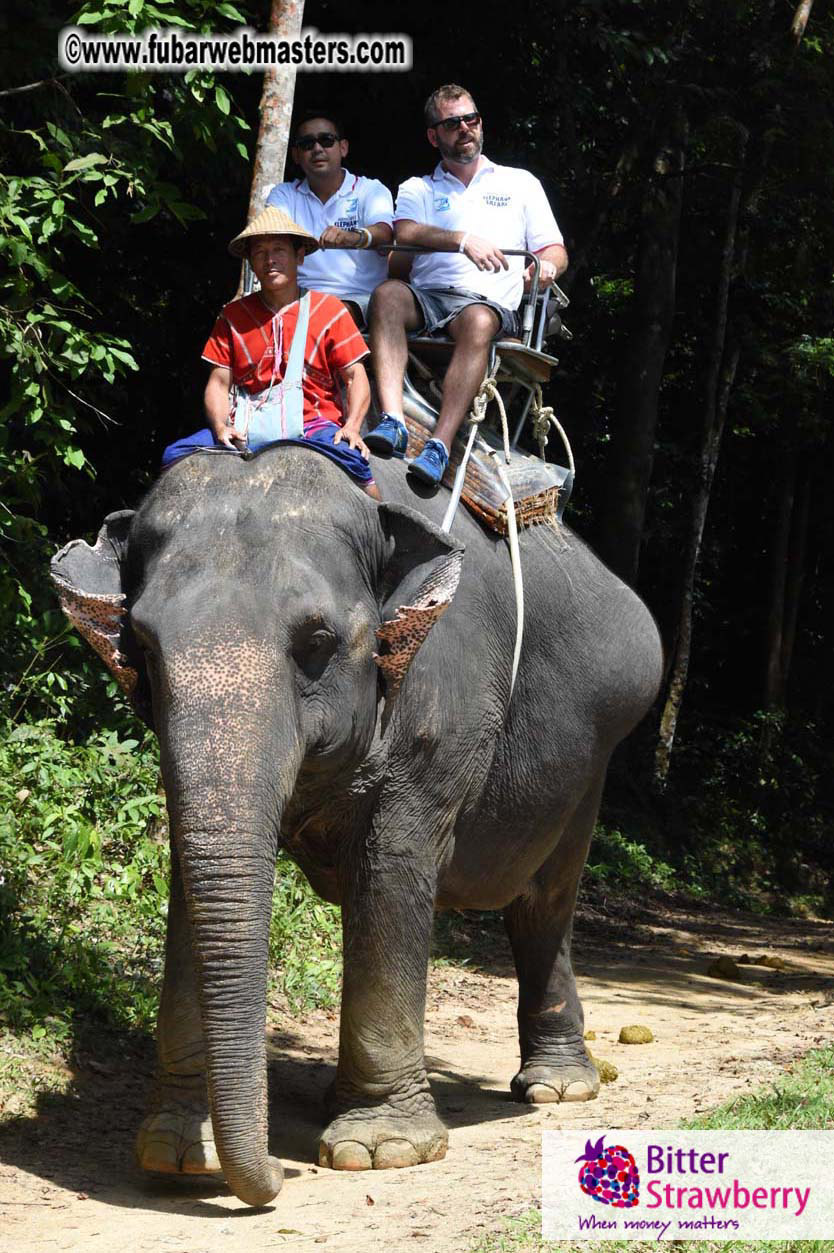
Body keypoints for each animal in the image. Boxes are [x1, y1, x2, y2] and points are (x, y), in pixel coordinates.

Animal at [51, 441, 662, 1208]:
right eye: (140, 643)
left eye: (317, 640)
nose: (275, 1179)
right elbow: (194, 879)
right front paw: (177, 1155)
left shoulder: (441, 709)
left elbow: (392, 866)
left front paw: (379, 1150)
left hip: (590, 759)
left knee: (544, 901)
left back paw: (557, 1088)